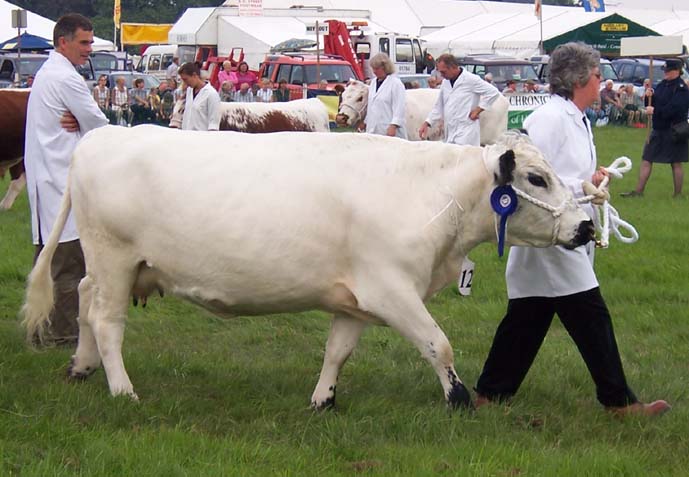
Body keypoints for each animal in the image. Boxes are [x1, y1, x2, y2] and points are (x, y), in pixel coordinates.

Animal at [21, 125, 592, 410]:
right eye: (537, 178)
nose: (585, 226)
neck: (429, 194)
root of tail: (101, 133)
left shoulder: (357, 300)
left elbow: (337, 351)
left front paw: (323, 400)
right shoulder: (393, 291)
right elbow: (439, 344)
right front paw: (458, 399)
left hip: (108, 264)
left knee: (86, 301)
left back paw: (81, 367)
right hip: (114, 257)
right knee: (107, 322)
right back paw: (122, 390)